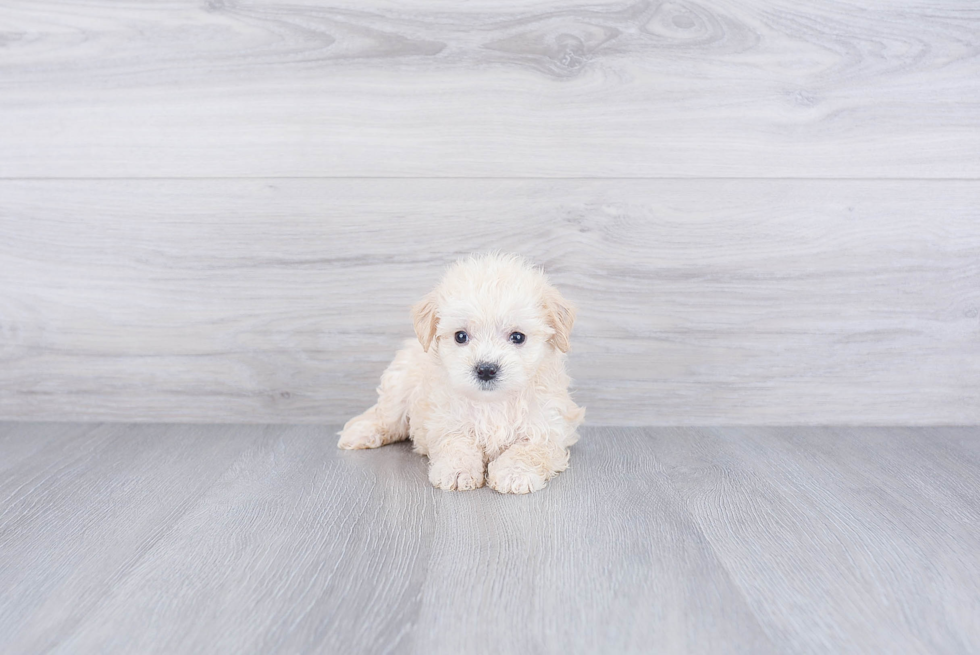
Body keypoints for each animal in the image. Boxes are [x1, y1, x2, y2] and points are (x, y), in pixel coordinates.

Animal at [338, 251, 580, 492]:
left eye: (518, 337)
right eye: (460, 336)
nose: (486, 369)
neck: (493, 403)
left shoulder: (547, 427)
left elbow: (528, 451)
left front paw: (514, 473)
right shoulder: (447, 421)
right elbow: (457, 445)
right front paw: (457, 472)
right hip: (399, 384)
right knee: (386, 418)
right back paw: (359, 433)